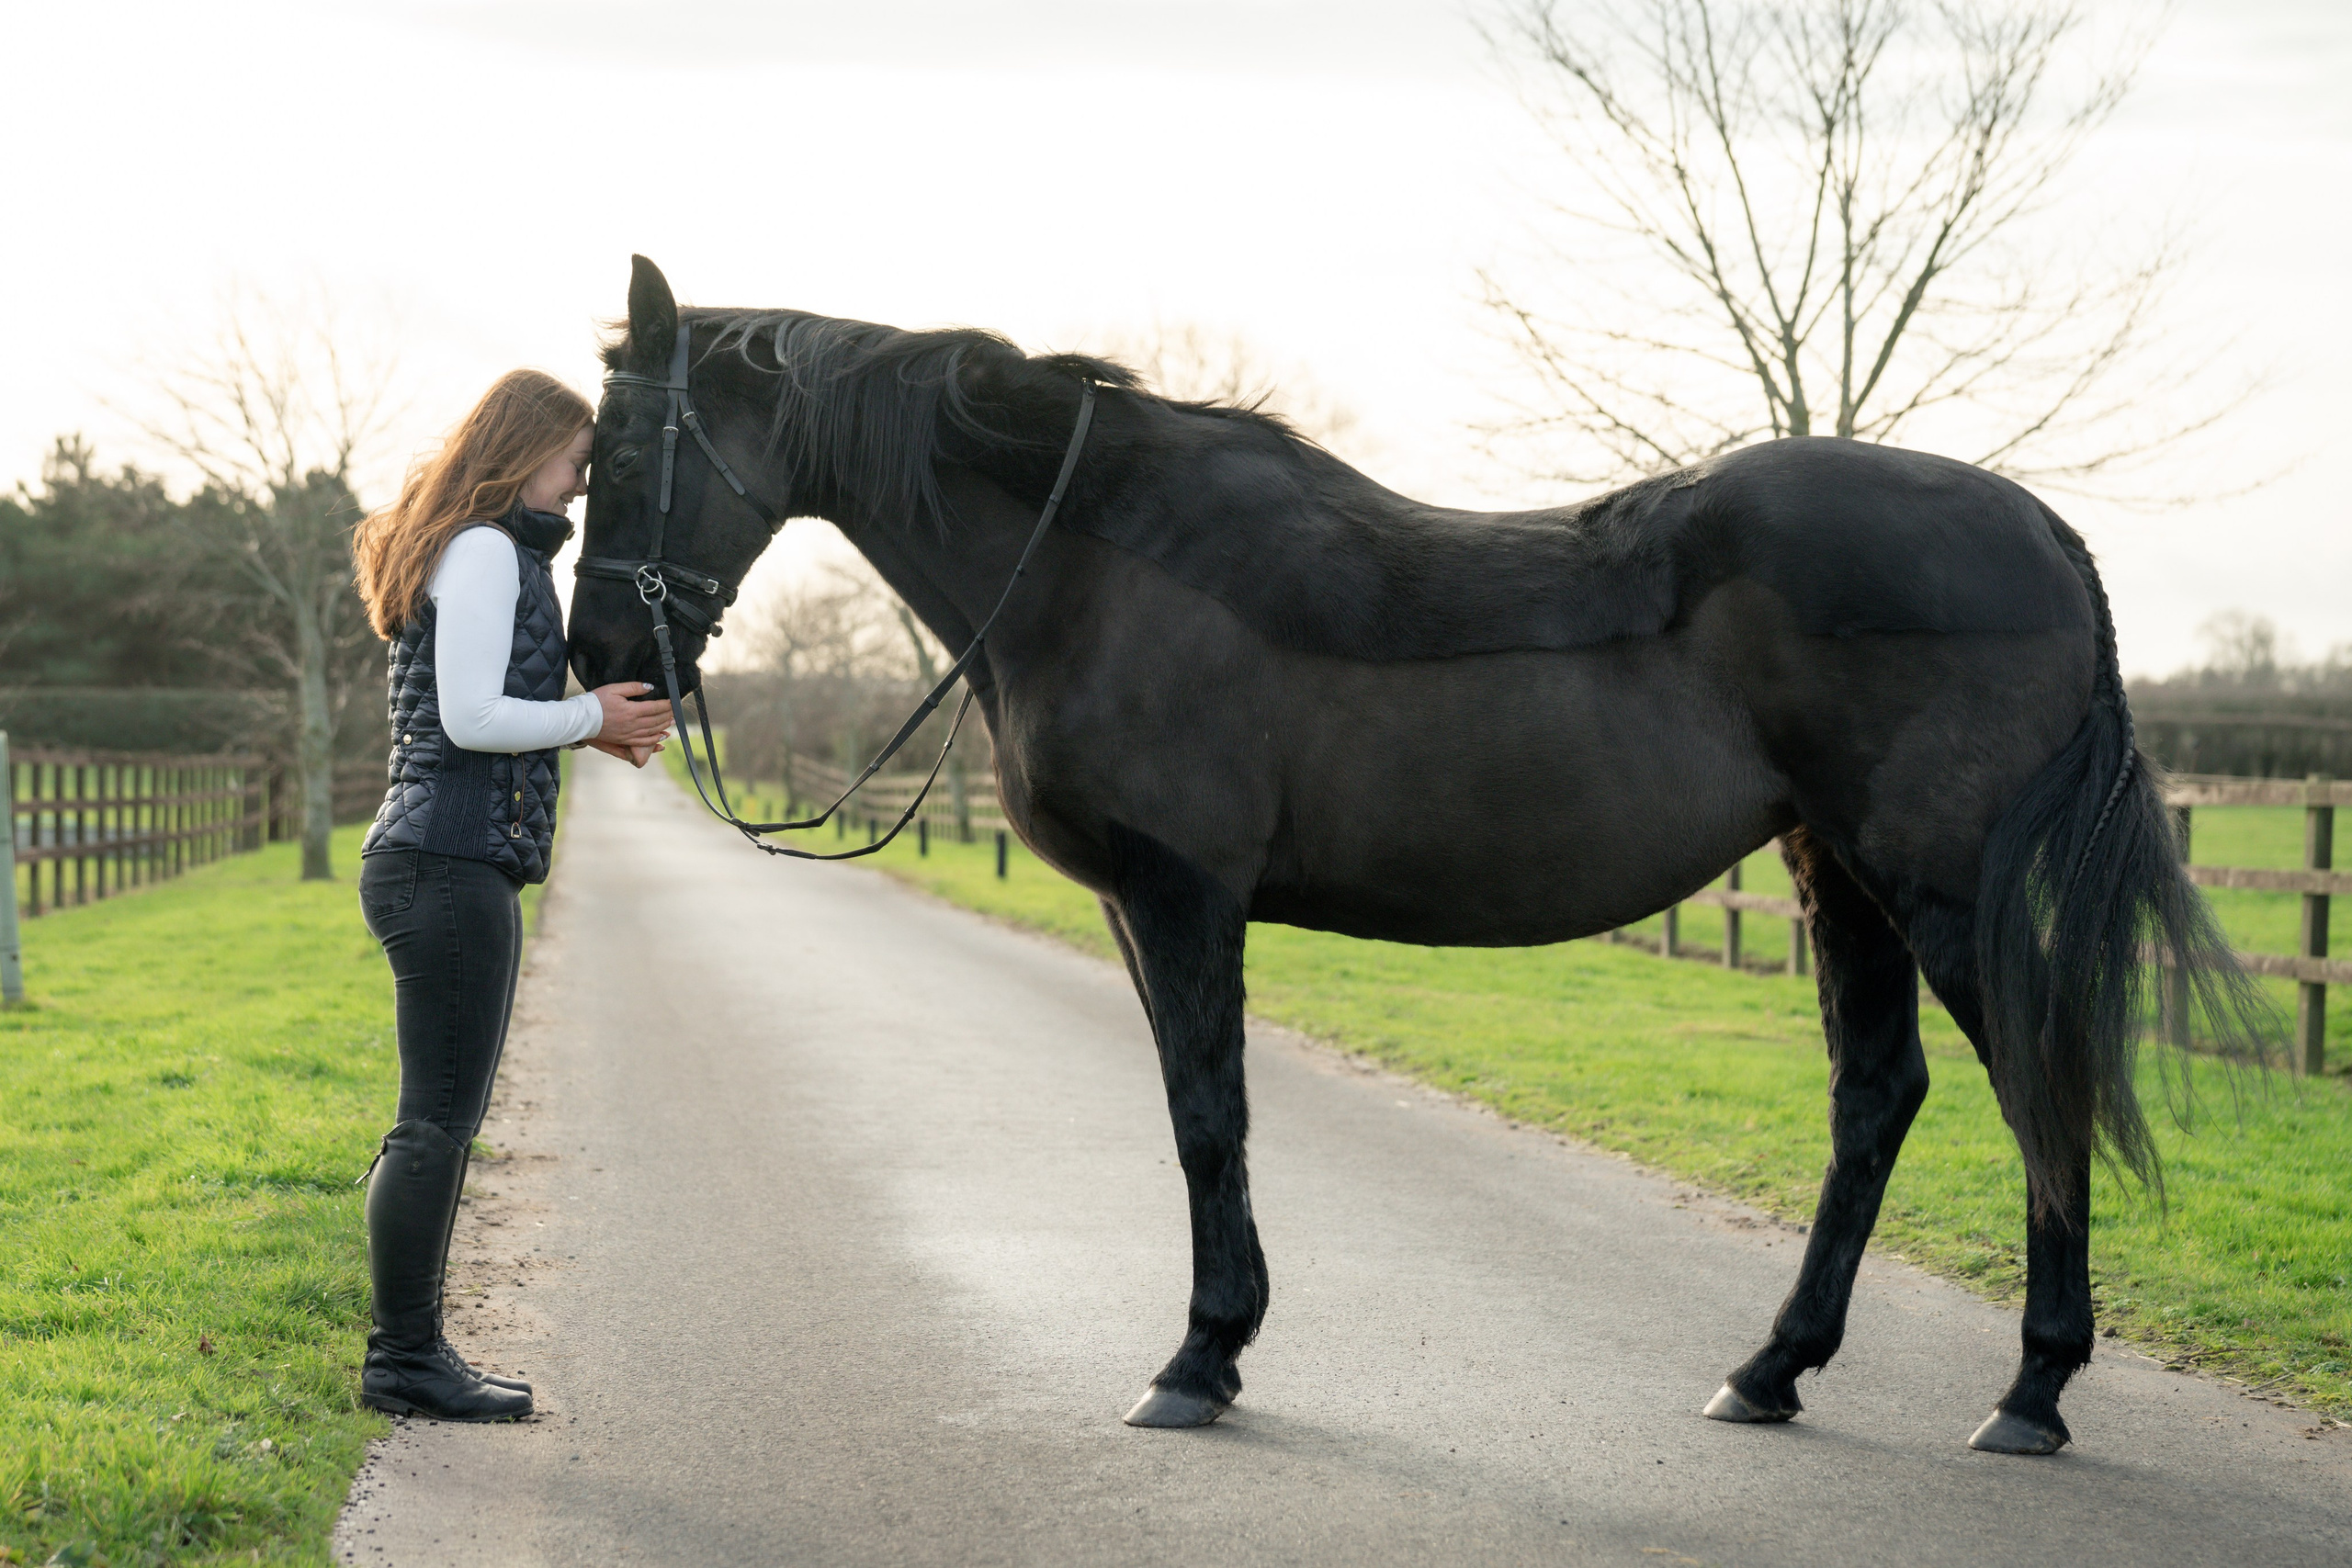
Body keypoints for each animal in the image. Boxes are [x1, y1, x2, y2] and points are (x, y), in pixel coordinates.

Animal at [568, 256, 2264, 1455]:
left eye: (629, 448)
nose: (597, 658)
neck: (1100, 560)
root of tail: (2040, 530)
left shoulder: (1185, 897)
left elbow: (1210, 1119)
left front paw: (1199, 1356)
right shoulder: (1147, 912)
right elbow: (1198, 1118)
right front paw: (1223, 1341)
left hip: (1933, 880)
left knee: (2037, 1085)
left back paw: (2032, 1391)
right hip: (1833, 869)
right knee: (1878, 1097)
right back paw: (1772, 1367)